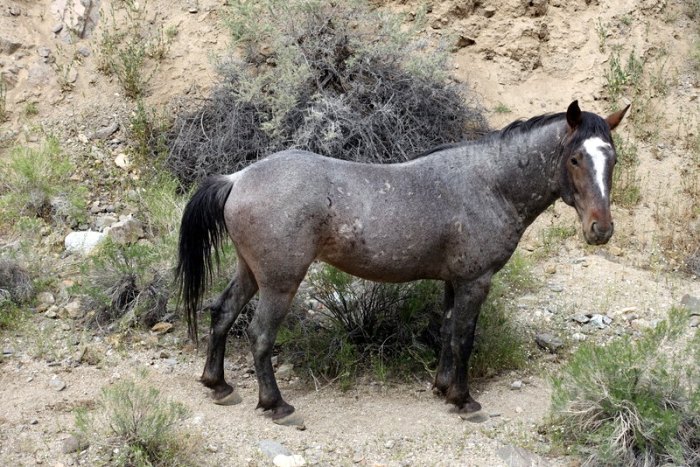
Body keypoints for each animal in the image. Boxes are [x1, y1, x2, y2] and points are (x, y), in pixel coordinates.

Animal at [176, 100, 629, 424]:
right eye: (575, 159)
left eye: (612, 159)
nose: (601, 229)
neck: (491, 185)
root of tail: (238, 178)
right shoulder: (475, 282)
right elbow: (464, 339)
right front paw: (463, 399)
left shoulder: (453, 281)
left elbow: (446, 332)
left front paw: (442, 387)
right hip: (279, 283)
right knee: (259, 335)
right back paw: (275, 405)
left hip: (250, 273)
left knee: (222, 313)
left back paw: (218, 385)